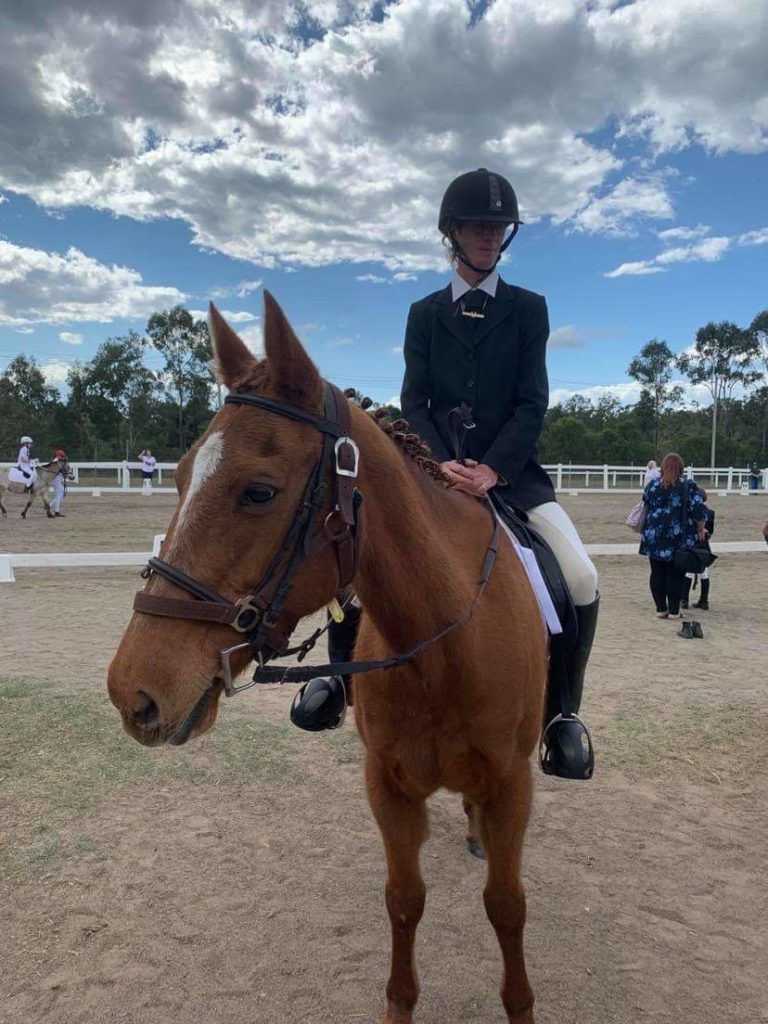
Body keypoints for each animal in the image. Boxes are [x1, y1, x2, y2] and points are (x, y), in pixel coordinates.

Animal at [107, 295, 548, 1024]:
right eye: (178, 476)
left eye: (258, 491)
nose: (132, 693)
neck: (446, 648)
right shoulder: (388, 788)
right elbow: (403, 902)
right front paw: (399, 1005)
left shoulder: (513, 785)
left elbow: (508, 906)